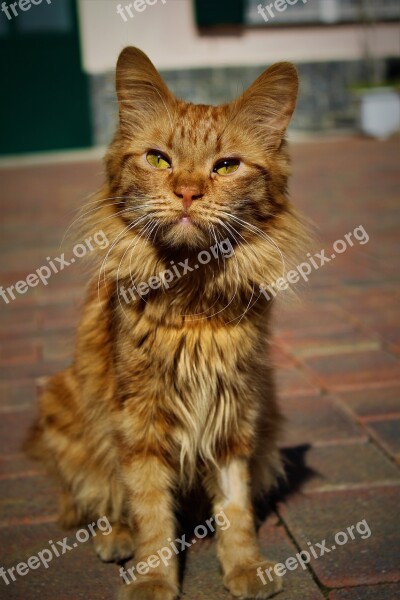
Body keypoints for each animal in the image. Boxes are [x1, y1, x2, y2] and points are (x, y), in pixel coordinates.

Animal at [25, 48, 306, 600]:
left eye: (226, 166)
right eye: (159, 160)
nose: (188, 192)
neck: (191, 295)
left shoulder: (233, 414)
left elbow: (236, 508)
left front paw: (244, 567)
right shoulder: (138, 423)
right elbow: (150, 512)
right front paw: (153, 578)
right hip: (66, 407)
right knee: (95, 500)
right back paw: (116, 539)